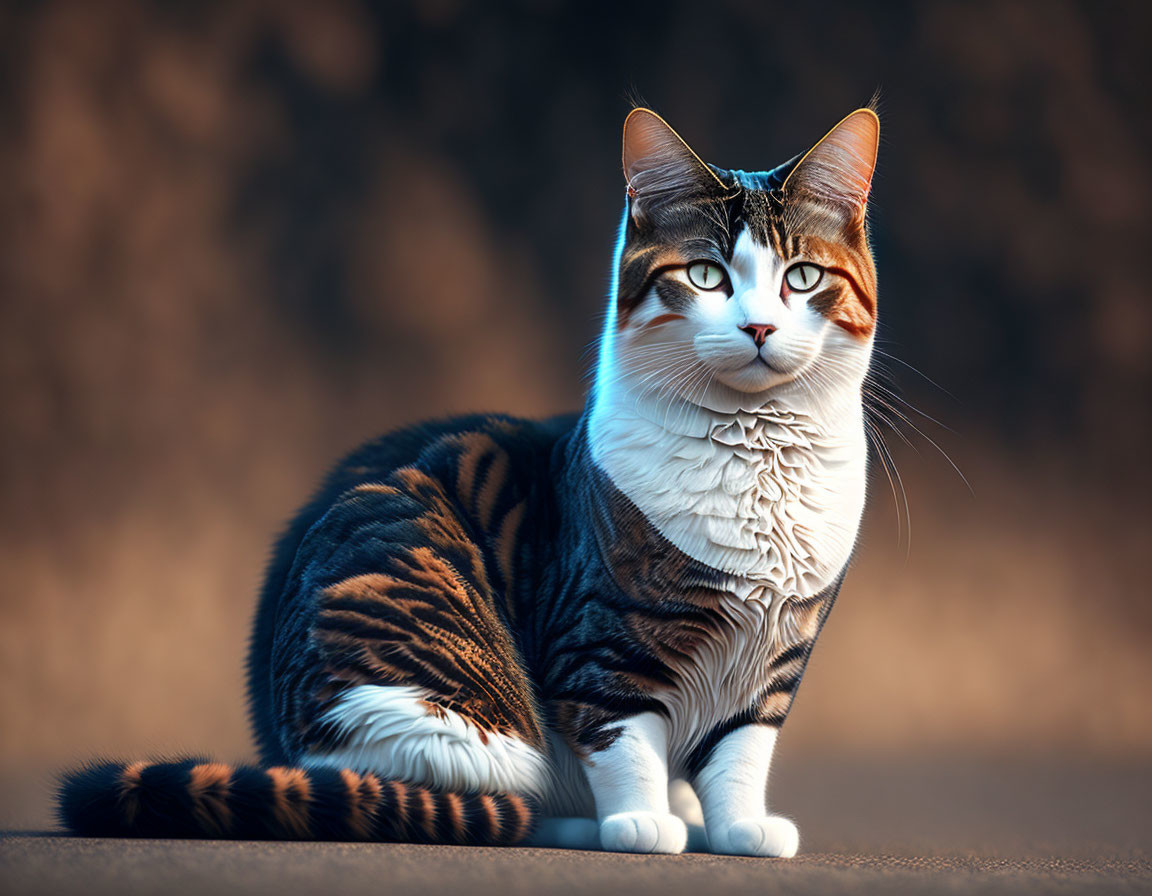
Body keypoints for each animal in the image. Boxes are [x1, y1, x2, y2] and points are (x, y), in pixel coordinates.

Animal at [56, 101, 880, 856]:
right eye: (707, 275)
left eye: (803, 277)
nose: (759, 327)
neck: (755, 459)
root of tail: (284, 749)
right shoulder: (597, 644)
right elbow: (622, 739)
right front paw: (640, 823)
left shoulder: (774, 661)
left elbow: (740, 753)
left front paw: (740, 828)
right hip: (443, 696)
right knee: (486, 793)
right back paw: (582, 823)